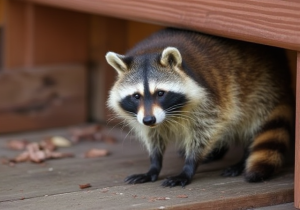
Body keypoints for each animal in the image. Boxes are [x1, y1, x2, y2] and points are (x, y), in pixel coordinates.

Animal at [105, 27, 292, 187]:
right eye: (136, 96)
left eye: (160, 93)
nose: (149, 120)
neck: (150, 51)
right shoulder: (142, 115)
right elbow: (153, 135)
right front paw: (155, 163)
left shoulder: (210, 99)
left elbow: (206, 129)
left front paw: (189, 166)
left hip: (260, 90)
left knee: (251, 121)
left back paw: (242, 158)